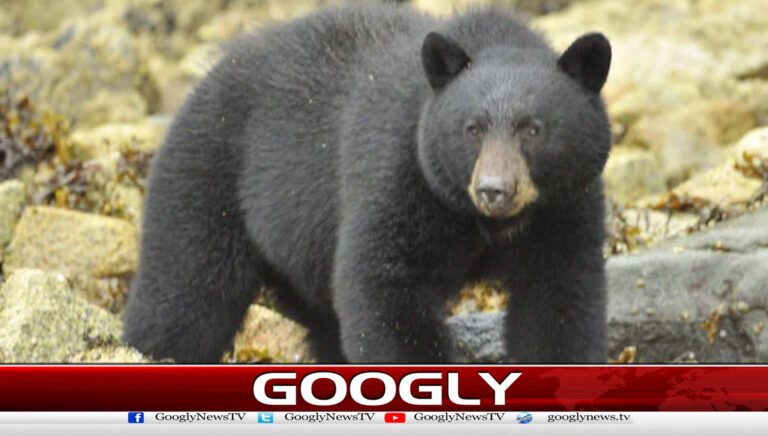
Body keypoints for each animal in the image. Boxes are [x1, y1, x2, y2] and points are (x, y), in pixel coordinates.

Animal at [123, 3, 612, 364]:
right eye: (471, 129)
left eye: (534, 129)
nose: (494, 189)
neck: (479, 221)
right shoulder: (397, 173)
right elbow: (382, 285)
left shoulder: (566, 206)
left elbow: (559, 296)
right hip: (206, 178)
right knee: (184, 294)